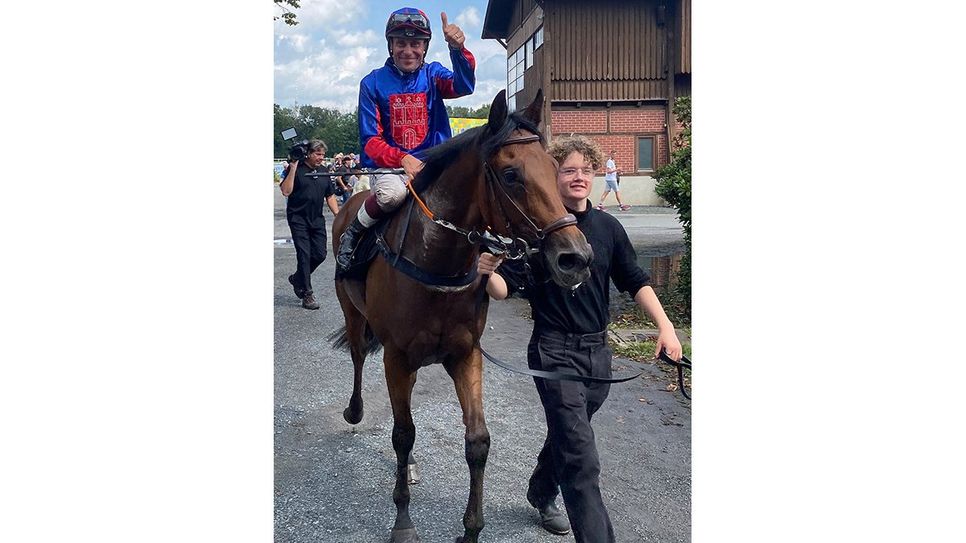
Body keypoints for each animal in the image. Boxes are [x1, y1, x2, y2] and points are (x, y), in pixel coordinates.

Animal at [328, 90, 592, 543]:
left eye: (555, 169)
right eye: (510, 174)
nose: (574, 257)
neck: (437, 263)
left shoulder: (465, 355)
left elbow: (478, 440)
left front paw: (471, 528)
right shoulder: (397, 357)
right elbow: (403, 433)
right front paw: (403, 522)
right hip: (353, 312)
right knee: (359, 355)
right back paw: (355, 410)